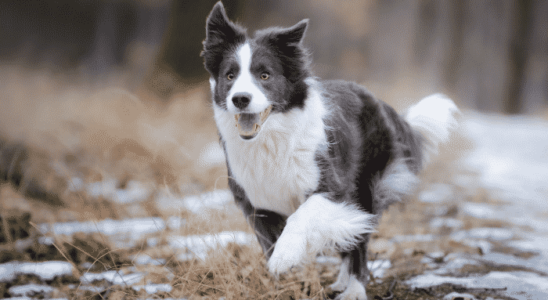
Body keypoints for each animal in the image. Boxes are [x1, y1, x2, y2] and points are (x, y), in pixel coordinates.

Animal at [201, 1, 458, 298]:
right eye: (230, 76)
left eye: (264, 75)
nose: (240, 99)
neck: (271, 139)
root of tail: (377, 100)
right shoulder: (256, 202)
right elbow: (268, 242)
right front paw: (285, 275)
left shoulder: (333, 188)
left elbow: (302, 215)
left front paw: (285, 257)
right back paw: (342, 281)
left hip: (364, 187)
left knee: (359, 241)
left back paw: (354, 288)